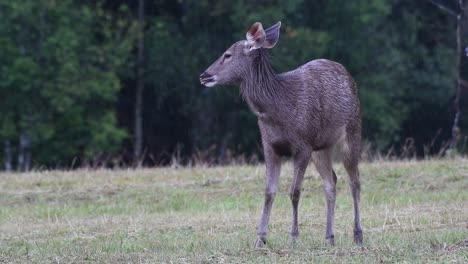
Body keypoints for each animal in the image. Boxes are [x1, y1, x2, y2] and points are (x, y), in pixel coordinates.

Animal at [199, 21, 364, 249]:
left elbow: (294, 191)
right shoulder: (270, 146)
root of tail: (349, 76)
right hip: (321, 147)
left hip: (352, 130)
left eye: (227, 54)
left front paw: (293, 236)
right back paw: (329, 237)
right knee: (331, 181)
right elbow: (269, 192)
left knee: (354, 181)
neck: (277, 110)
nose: (203, 75)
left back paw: (357, 235)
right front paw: (260, 238)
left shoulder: (302, 145)